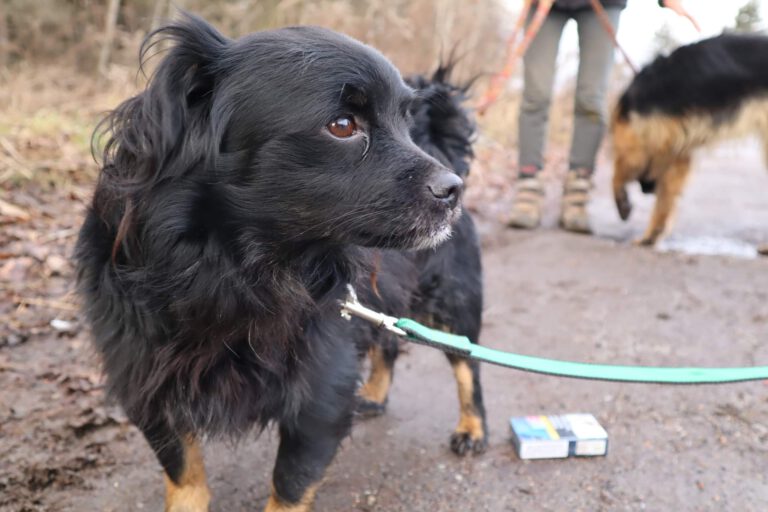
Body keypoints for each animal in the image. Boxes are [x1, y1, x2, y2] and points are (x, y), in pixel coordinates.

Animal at [76, 12, 486, 512]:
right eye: (343, 125)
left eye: (403, 125)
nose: (453, 190)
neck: (234, 270)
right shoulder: (146, 380)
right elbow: (183, 471)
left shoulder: (321, 392)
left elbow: (289, 485)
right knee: (388, 345)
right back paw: (374, 393)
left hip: (452, 302)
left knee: (468, 367)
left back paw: (472, 428)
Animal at [612, 34, 768, 246]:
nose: (647, 190)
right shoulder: (678, 151)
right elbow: (665, 200)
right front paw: (651, 236)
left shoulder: (636, 141)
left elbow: (618, 172)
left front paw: (623, 205)